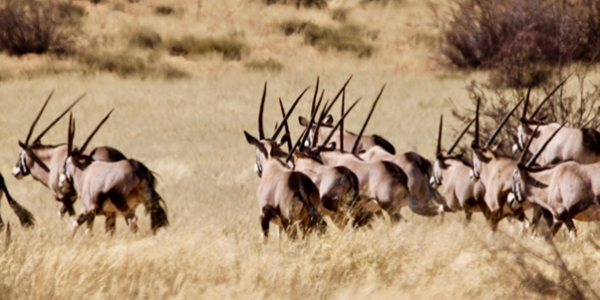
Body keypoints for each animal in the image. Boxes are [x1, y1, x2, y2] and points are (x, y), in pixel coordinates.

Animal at [12, 90, 126, 219]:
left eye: (20, 153)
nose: (15, 172)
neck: (51, 161)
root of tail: (118, 156)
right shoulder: (72, 198)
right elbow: (62, 214)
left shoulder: (64, 197)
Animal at [244, 82, 324, 244]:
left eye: (256, 150)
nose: (257, 170)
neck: (271, 163)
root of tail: (300, 183)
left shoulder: (263, 216)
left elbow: (265, 240)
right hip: (306, 221)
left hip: (290, 221)